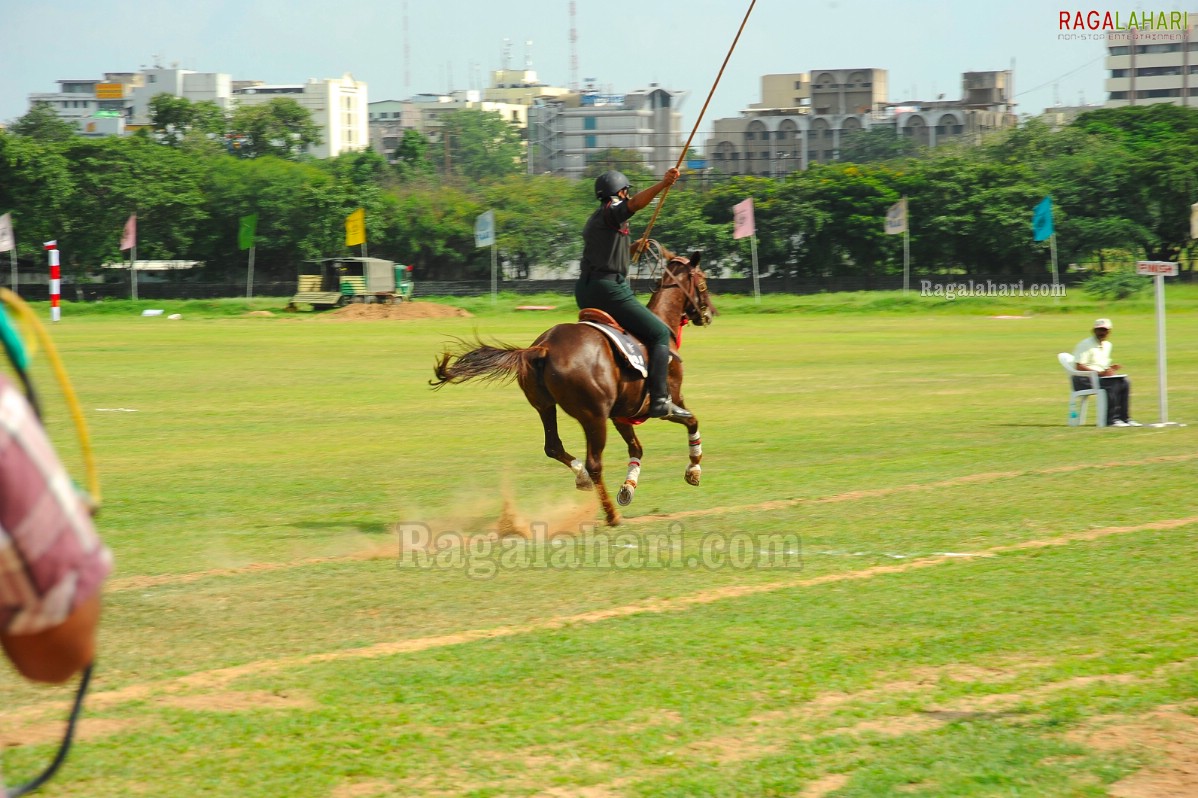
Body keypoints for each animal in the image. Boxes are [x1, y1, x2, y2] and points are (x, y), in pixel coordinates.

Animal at [431, 245, 709, 524]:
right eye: (703, 282)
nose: (708, 314)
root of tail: (544, 347)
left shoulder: (621, 414)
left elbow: (636, 449)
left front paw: (628, 487)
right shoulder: (670, 401)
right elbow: (692, 421)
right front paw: (694, 469)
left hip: (545, 406)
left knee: (553, 447)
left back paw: (582, 477)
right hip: (593, 417)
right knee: (594, 463)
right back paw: (611, 515)